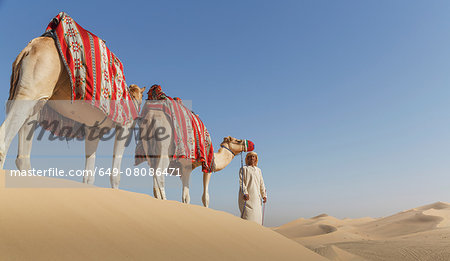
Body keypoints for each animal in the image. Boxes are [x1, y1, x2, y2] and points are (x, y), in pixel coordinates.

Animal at [0, 36, 145, 187]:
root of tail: (31, 46)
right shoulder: (125, 125)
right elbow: (115, 175)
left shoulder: (93, 129)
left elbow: (89, 175)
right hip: (32, 89)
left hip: (35, 99)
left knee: (23, 152)